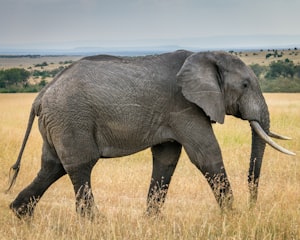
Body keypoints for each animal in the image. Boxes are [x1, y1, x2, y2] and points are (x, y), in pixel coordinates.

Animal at [6, 49, 292, 218]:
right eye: (245, 85)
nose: (253, 206)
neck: (204, 57)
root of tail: (41, 95)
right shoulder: (184, 107)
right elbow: (207, 155)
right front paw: (231, 217)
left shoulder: (173, 114)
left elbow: (167, 159)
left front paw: (152, 220)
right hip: (71, 119)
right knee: (79, 165)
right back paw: (94, 223)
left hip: (58, 123)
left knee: (52, 166)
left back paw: (20, 215)